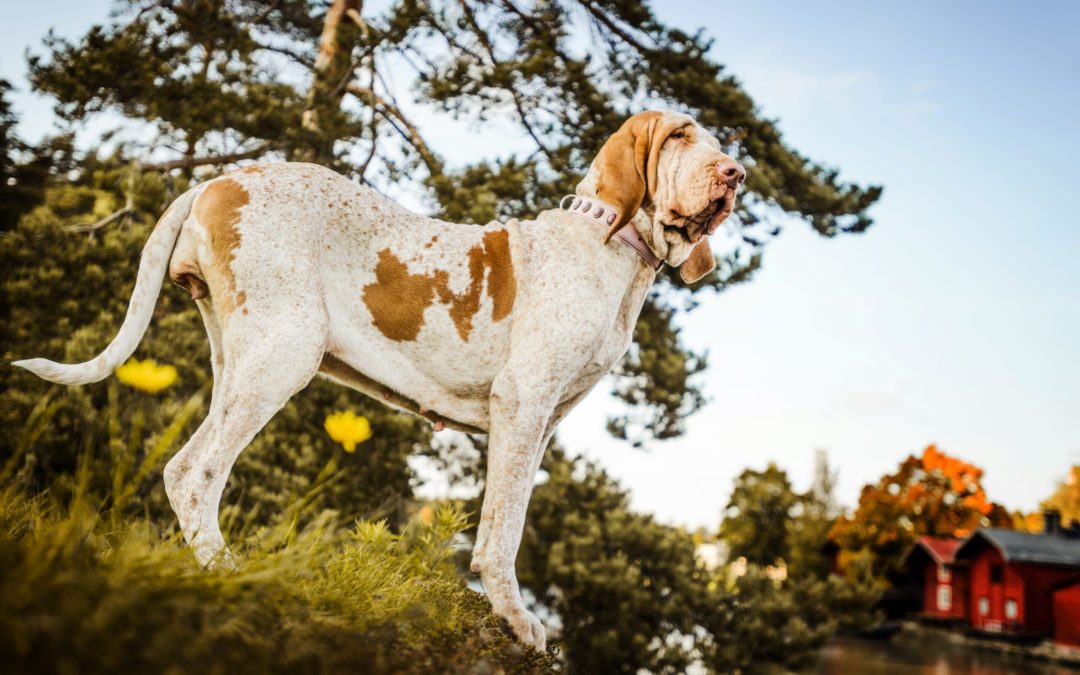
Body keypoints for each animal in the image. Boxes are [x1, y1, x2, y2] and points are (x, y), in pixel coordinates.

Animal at [14, 110, 743, 648]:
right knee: (192, 471)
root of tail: (219, 181)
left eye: (714, 143)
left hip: (238, 362)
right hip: (282, 356)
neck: (611, 249)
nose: (734, 173)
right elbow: (503, 530)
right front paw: (513, 617)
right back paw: (230, 574)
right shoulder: (523, 406)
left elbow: (502, 519)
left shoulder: (539, 426)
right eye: (679, 136)